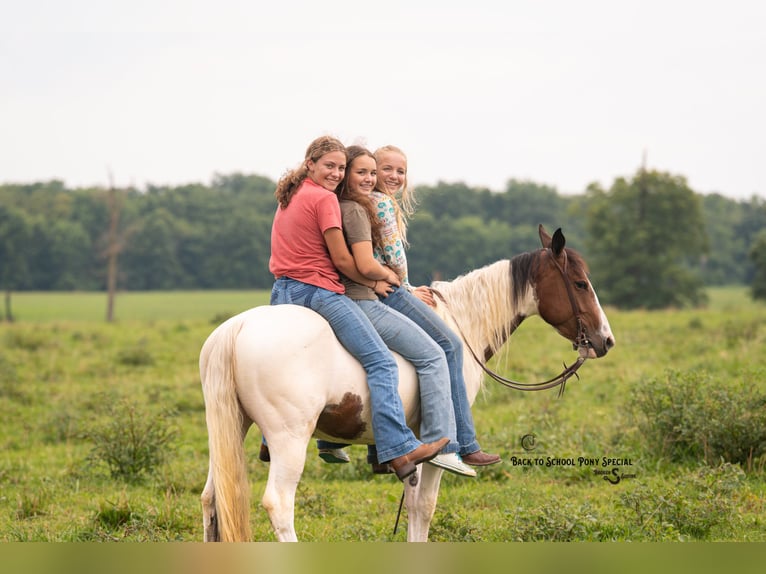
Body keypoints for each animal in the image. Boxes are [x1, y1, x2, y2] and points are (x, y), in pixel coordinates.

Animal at [199, 225, 615, 542]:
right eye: (580, 283)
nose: (605, 340)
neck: (459, 324)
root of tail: (236, 329)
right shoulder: (437, 443)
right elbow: (425, 507)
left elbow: (413, 504)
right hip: (289, 439)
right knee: (279, 504)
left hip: (231, 428)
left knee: (212, 499)